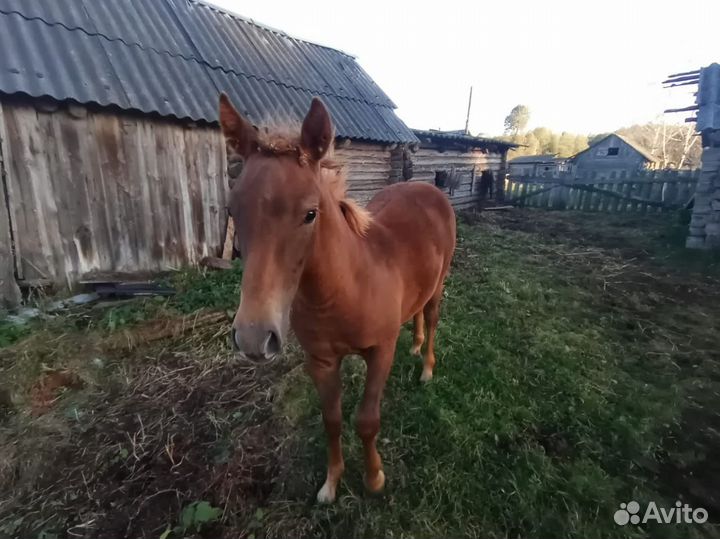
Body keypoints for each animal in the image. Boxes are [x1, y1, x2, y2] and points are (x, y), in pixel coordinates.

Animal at [218, 94, 456, 503]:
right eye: (234, 210)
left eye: (310, 213)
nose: (253, 338)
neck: (345, 289)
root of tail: (429, 189)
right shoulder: (322, 361)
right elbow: (332, 420)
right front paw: (331, 483)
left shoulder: (380, 351)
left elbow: (366, 420)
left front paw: (374, 479)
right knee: (416, 314)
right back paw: (415, 346)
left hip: (439, 286)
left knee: (432, 316)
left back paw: (426, 368)